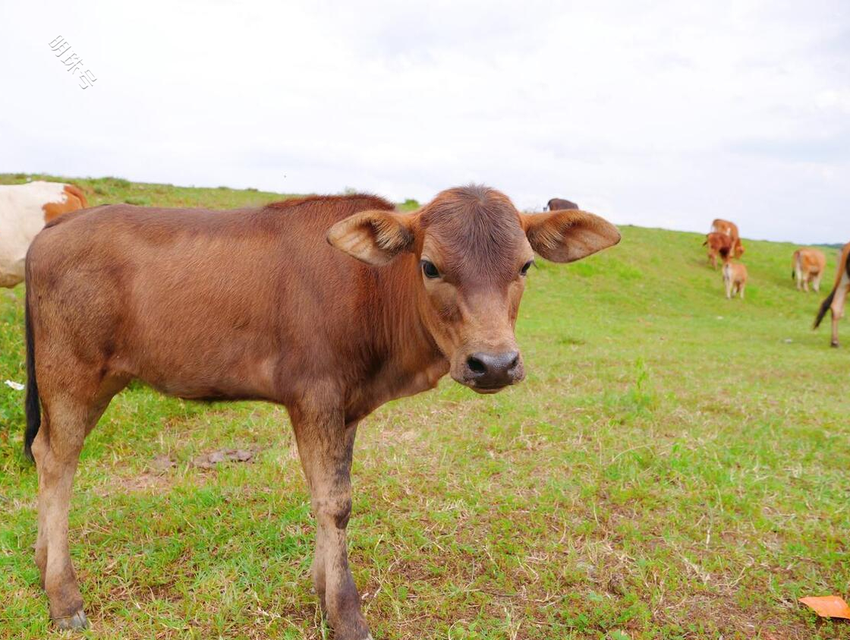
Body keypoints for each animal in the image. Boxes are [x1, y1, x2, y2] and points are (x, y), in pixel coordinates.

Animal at [21, 185, 616, 636]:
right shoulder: (315, 394)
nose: (493, 363)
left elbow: (331, 497)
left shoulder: (345, 406)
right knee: (58, 461)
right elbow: (334, 502)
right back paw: (64, 597)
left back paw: (41, 561)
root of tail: (56, 229)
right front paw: (346, 613)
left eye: (526, 264)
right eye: (430, 266)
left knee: (44, 451)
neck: (372, 292)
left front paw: (321, 590)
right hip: (70, 369)